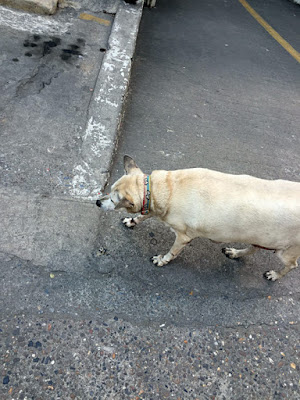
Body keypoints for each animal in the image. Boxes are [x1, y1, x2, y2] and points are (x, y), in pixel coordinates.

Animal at [96, 155, 300, 282]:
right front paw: (132, 222)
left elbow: (172, 252)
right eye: (109, 190)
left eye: (113, 200)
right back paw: (235, 253)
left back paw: (275, 275)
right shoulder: (152, 206)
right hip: (262, 237)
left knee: (292, 265)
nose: (97, 202)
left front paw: (162, 260)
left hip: (286, 252)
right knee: (253, 248)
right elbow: (143, 215)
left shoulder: (183, 237)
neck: (166, 188)